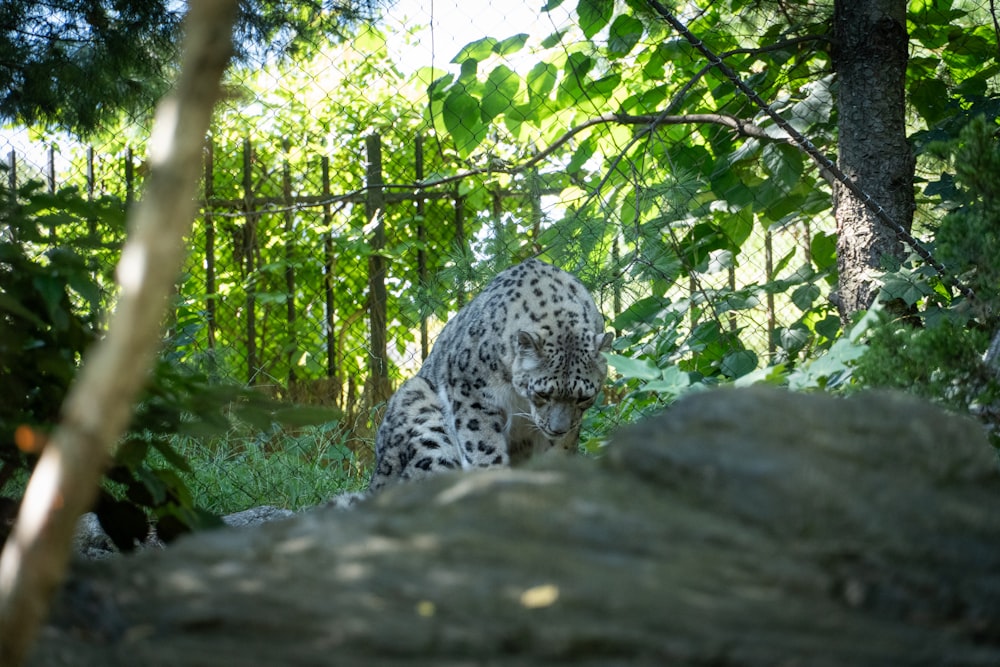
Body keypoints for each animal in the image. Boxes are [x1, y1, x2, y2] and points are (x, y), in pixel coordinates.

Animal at [368, 258, 612, 494]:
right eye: (543, 394)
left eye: (583, 397)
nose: (558, 429)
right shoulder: (471, 392)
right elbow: (482, 444)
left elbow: (558, 451)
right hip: (425, 419)